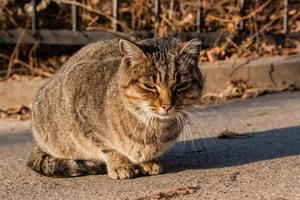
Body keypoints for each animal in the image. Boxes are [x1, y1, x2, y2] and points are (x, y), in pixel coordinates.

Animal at [27, 37, 203, 180]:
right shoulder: (82, 116)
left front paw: (149, 162)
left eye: (181, 85)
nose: (167, 105)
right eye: (150, 86)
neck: (153, 127)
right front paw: (120, 164)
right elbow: (110, 148)